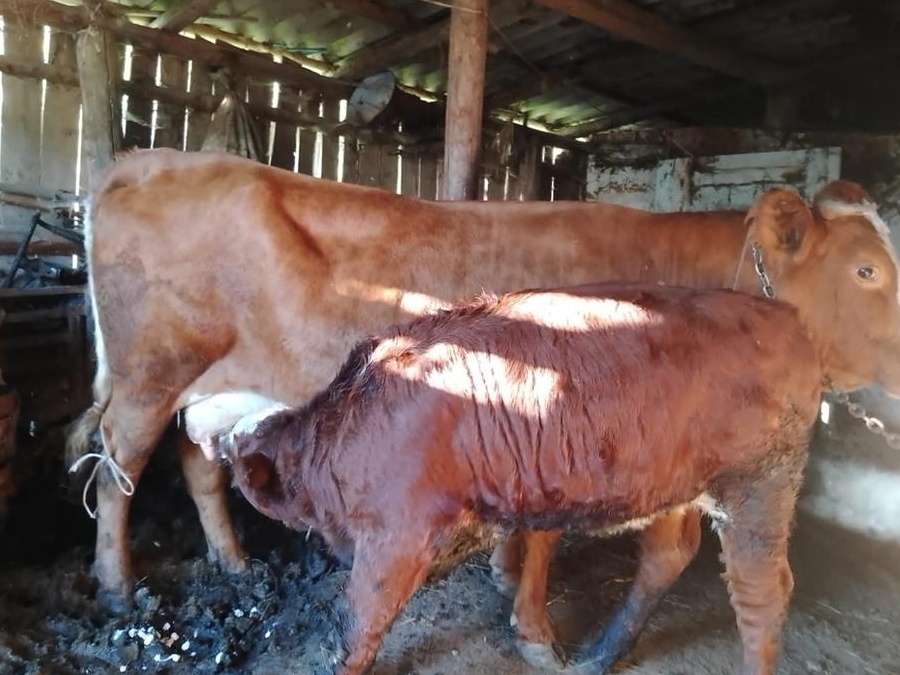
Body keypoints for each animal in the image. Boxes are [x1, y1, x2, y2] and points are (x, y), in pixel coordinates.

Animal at [67, 148, 900, 631]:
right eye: (867, 268)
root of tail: (151, 156)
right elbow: (554, 538)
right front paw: (530, 620)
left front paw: (505, 581)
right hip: (150, 376)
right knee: (117, 471)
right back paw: (115, 581)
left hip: (206, 385)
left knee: (199, 464)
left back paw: (234, 562)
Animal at [202, 283, 824, 675]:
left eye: (238, 463)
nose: (215, 445)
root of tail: (784, 314)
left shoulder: (398, 535)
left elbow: (359, 624)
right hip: (678, 483)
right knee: (666, 558)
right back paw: (601, 655)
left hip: (760, 483)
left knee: (763, 594)